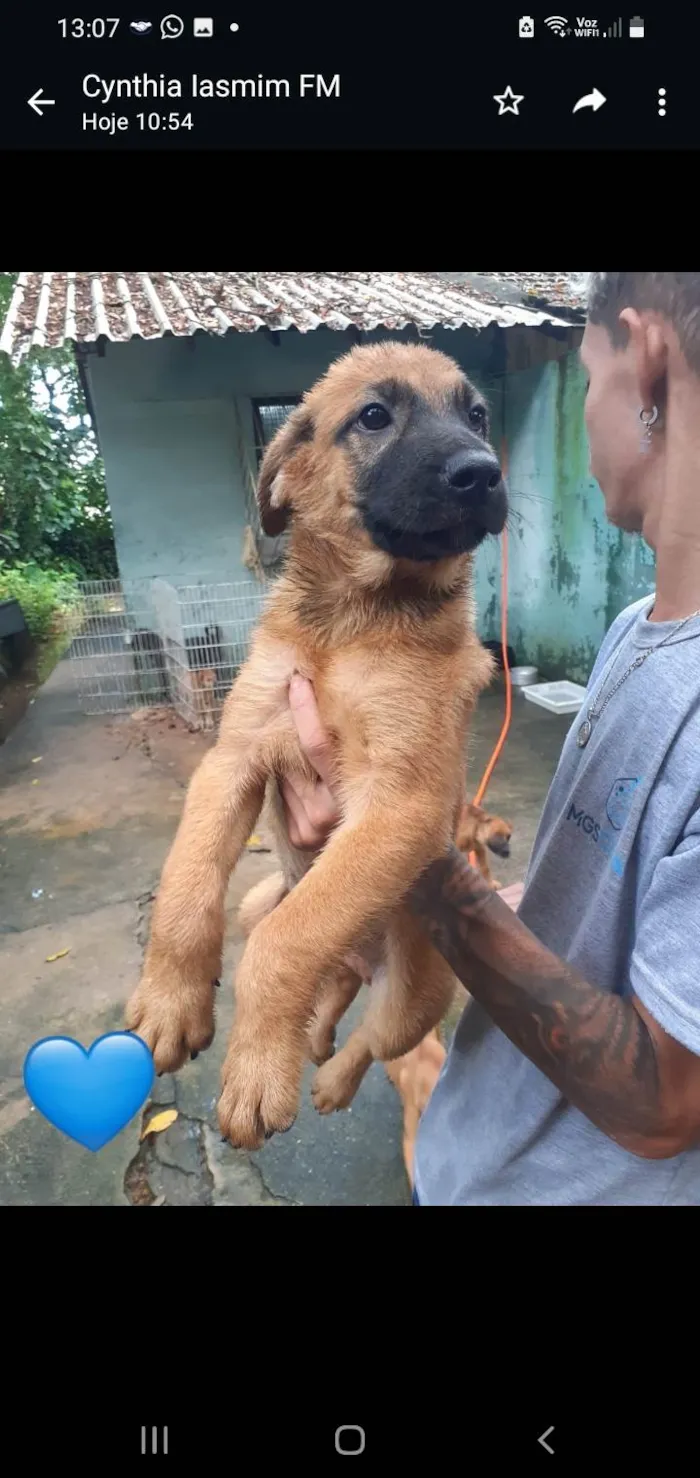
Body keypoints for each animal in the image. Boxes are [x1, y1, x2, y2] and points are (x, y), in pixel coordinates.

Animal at [125, 339, 505, 1146]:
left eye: (478, 417)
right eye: (374, 416)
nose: (484, 472)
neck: (354, 621)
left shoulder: (402, 804)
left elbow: (289, 943)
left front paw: (255, 1075)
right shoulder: (231, 759)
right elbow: (186, 890)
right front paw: (171, 1003)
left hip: (415, 995)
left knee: (374, 1033)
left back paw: (328, 1077)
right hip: (259, 898)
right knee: (329, 976)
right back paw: (315, 1038)